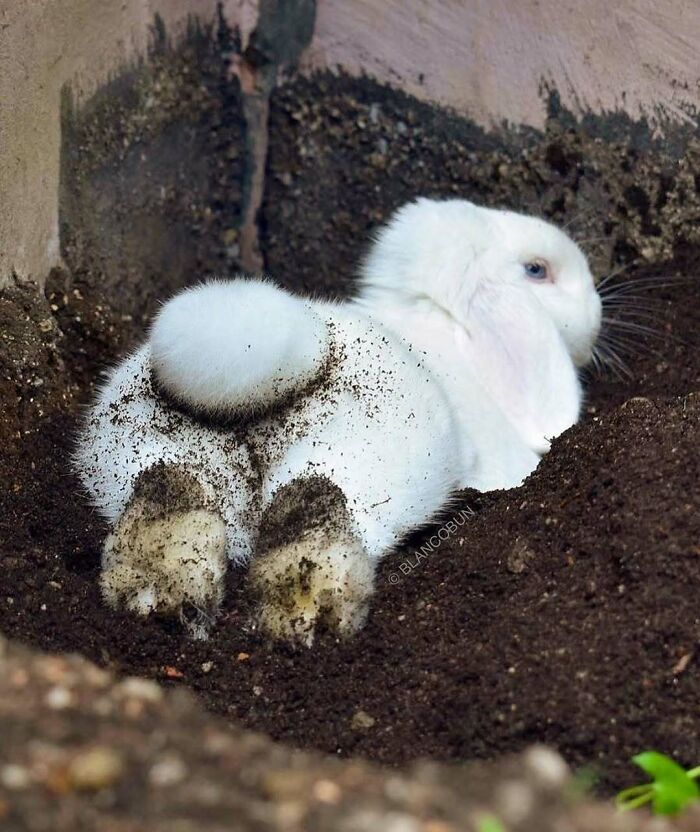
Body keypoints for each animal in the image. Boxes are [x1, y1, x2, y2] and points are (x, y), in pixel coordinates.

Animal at [75, 197, 602, 644]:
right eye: (537, 270)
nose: (596, 313)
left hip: (152, 453)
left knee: (172, 495)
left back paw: (160, 596)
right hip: (362, 463)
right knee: (314, 509)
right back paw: (307, 608)